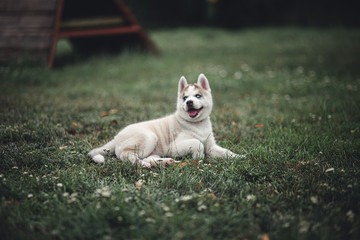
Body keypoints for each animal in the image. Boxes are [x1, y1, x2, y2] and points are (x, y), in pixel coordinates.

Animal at [88, 73, 243, 167]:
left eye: (198, 96)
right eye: (185, 98)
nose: (189, 102)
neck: (197, 125)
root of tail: (116, 137)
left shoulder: (211, 146)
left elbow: (226, 152)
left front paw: (239, 156)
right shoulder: (174, 147)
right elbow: (197, 143)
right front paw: (198, 157)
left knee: (148, 157)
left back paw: (165, 162)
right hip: (148, 138)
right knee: (126, 156)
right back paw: (143, 164)